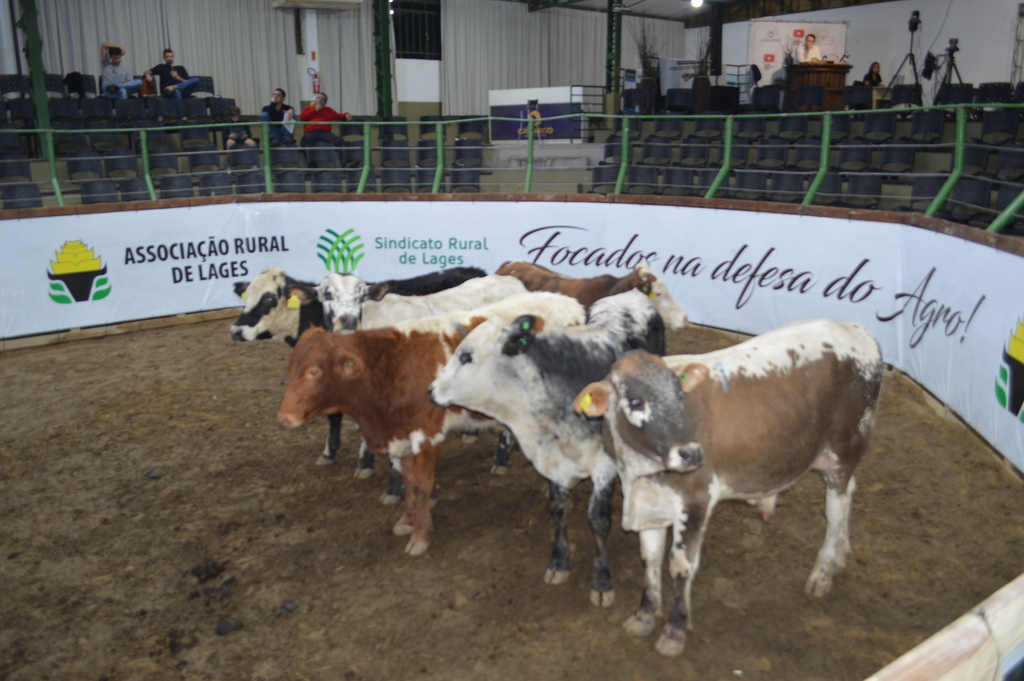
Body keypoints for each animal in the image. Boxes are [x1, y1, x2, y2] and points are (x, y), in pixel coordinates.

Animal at [276, 288, 589, 557]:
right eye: (290, 368)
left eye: (314, 372)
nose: (283, 417)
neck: (391, 368)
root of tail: (567, 302)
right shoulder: (400, 436)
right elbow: (409, 481)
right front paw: (406, 521)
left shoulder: (428, 434)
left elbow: (423, 484)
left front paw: (420, 535)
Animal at [425, 288, 671, 606]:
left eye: (467, 356)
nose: (430, 391)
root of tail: (631, 294)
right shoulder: (552, 462)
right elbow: (558, 508)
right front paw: (559, 561)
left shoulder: (604, 463)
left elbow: (598, 518)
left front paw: (602, 580)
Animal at [573, 319, 884, 655]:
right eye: (635, 401)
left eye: (680, 394)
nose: (691, 453)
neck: (639, 474)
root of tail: (854, 328)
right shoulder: (649, 504)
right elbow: (650, 559)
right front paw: (644, 614)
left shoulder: (695, 499)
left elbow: (681, 566)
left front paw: (675, 629)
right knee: (849, 491)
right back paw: (841, 551)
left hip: (847, 445)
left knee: (835, 508)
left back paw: (822, 573)